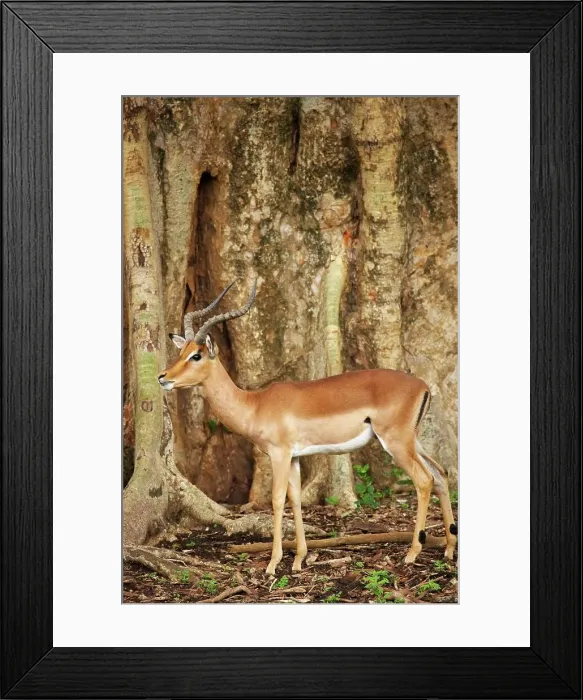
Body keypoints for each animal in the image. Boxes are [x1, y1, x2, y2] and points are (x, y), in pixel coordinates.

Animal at [159, 281, 457, 575]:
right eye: (181, 351)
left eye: (196, 355)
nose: (163, 377)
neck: (254, 405)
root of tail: (423, 386)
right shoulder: (295, 457)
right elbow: (296, 499)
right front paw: (299, 559)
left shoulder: (279, 454)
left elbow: (277, 500)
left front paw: (273, 564)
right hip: (412, 441)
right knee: (441, 474)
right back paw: (448, 548)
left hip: (396, 443)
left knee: (424, 480)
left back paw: (413, 553)